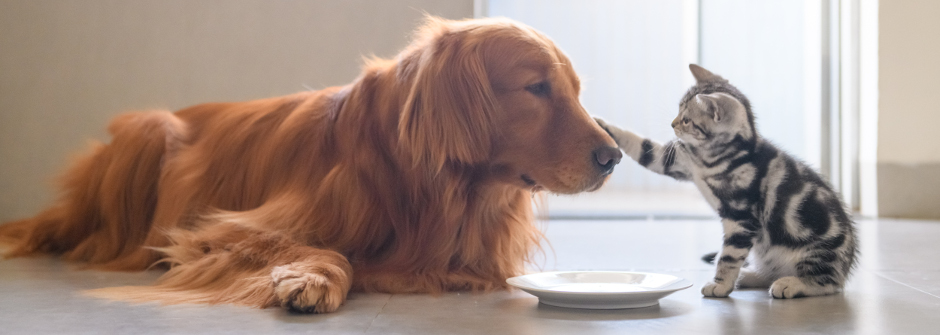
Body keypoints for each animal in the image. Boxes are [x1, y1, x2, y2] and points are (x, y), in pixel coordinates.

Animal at [0, 16, 624, 316]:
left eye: (574, 90)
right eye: (536, 88)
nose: (614, 156)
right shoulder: (223, 229)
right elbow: (329, 249)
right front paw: (311, 279)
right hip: (151, 130)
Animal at [600, 65, 856, 300]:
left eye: (686, 120)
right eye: (678, 112)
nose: (672, 124)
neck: (713, 158)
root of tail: (846, 268)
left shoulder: (741, 217)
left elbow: (729, 256)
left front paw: (720, 285)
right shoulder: (677, 161)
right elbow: (642, 147)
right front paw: (603, 125)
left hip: (816, 251)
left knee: (828, 283)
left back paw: (792, 284)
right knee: (772, 272)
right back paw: (750, 275)